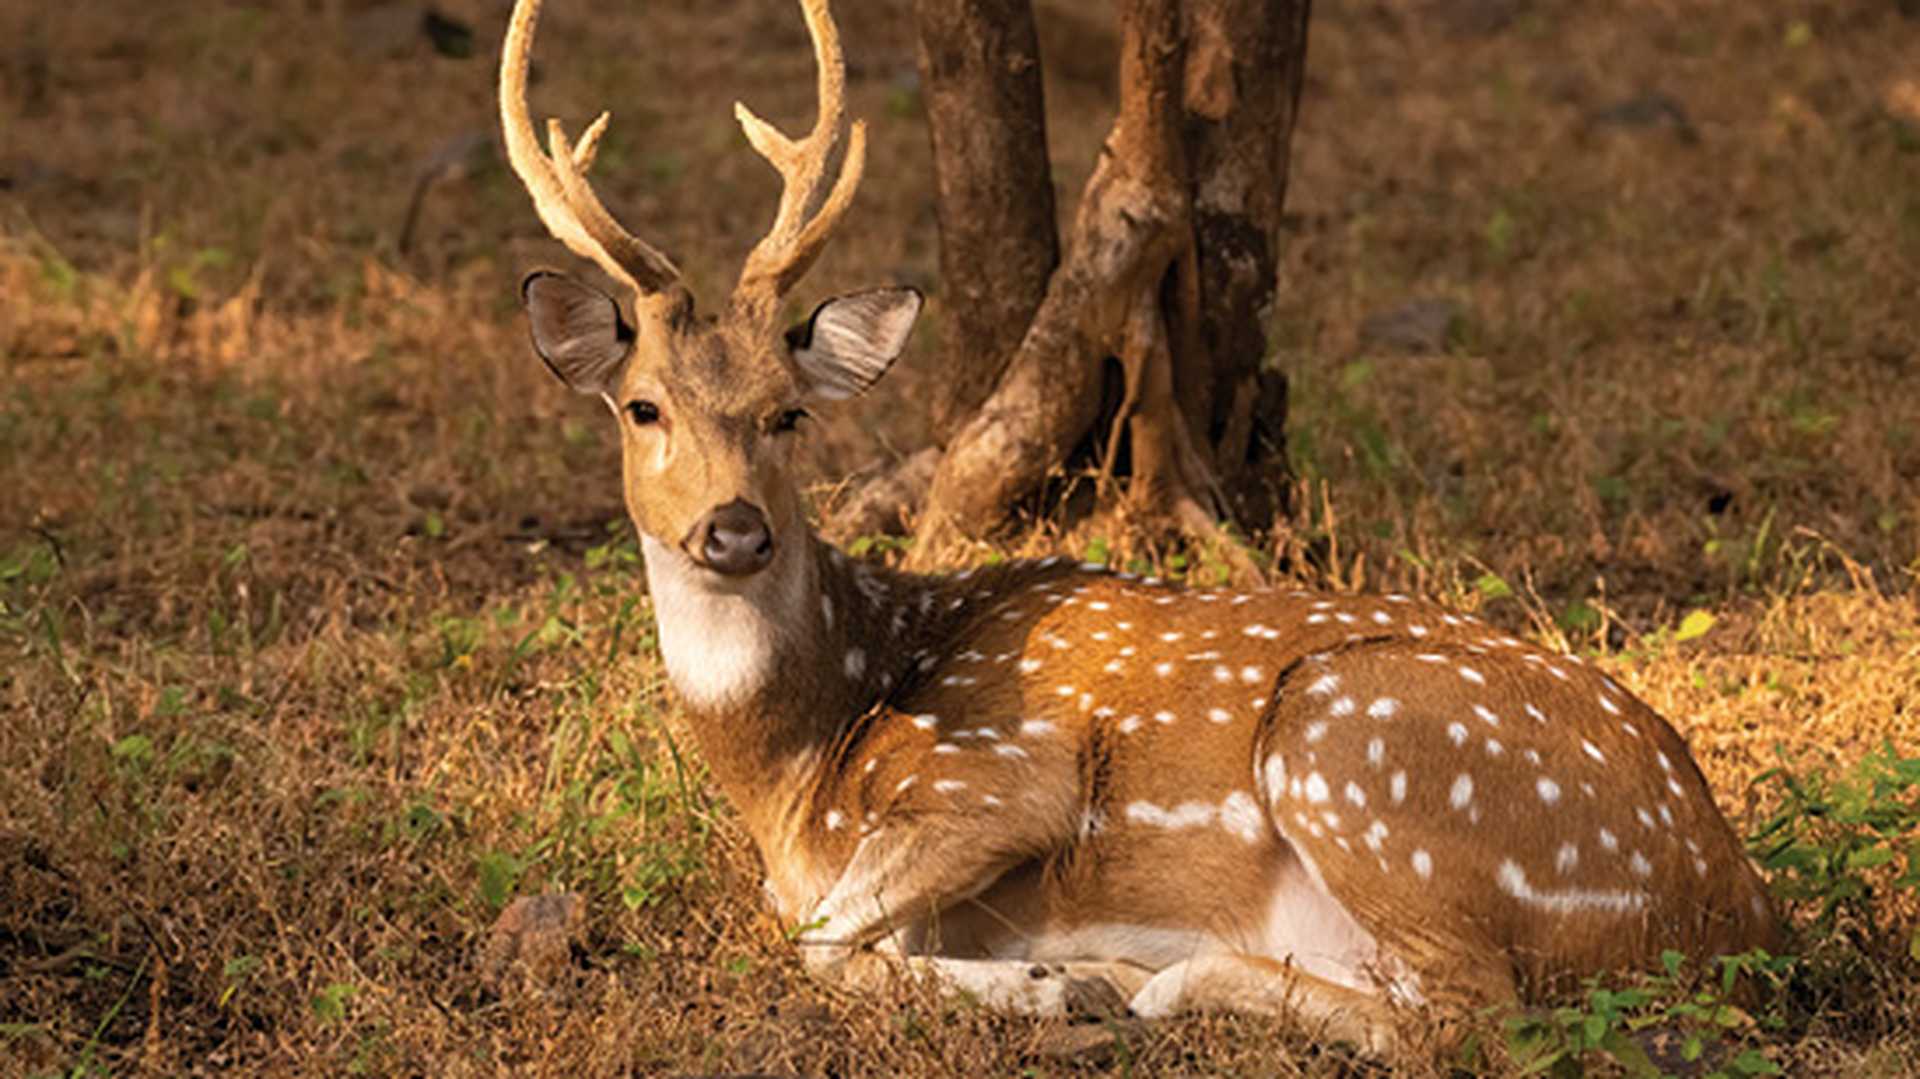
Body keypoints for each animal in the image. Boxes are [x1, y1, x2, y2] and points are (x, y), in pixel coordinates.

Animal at [498, 0, 1782, 1056]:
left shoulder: (1003, 769)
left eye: (789, 411)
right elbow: (825, 929)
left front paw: (1054, 980)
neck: (802, 763)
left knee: (1473, 1016)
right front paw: (1049, 971)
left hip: (1355, 746)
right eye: (643, 405)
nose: (733, 530)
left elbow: (817, 937)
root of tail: (1735, 908)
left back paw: (1157, 978)